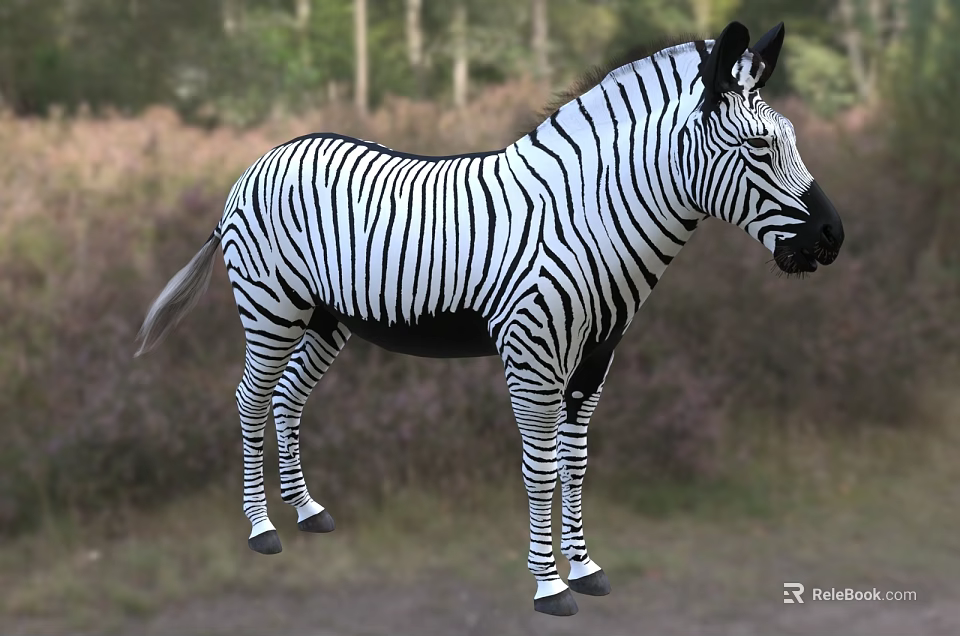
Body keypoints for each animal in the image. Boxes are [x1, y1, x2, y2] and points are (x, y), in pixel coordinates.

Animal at [135, 21, 843, 616]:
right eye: (758, 147)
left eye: (788, 141)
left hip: (327, 319)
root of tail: (260, 160)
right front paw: (550, 586)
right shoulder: (532, 354)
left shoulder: (595, 360)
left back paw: (307, 511)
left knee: (287, 398)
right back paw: (261, 529)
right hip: (272, 307)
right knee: (251, 398)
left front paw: (586, 568)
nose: (833, 238)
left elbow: (577, 461)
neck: (589, 218)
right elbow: (541, 468)